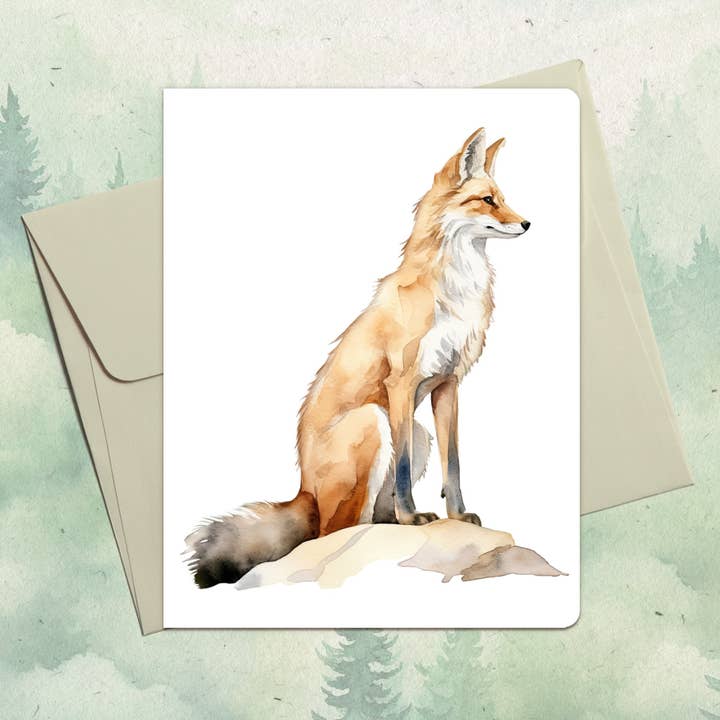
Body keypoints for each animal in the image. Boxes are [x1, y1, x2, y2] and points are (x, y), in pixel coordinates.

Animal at [186, 126, 531, 588]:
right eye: (488, 200)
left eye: (502, 197)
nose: (527, 223)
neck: (454, 292)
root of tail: (304, 490)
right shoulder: (401, 383)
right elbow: (402, 473)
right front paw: (413, 518)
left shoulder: (448, 383)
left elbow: (454, 464)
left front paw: (457, 516)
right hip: (375, 419)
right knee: (337, 531)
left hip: (417, 431)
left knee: (368, 519)